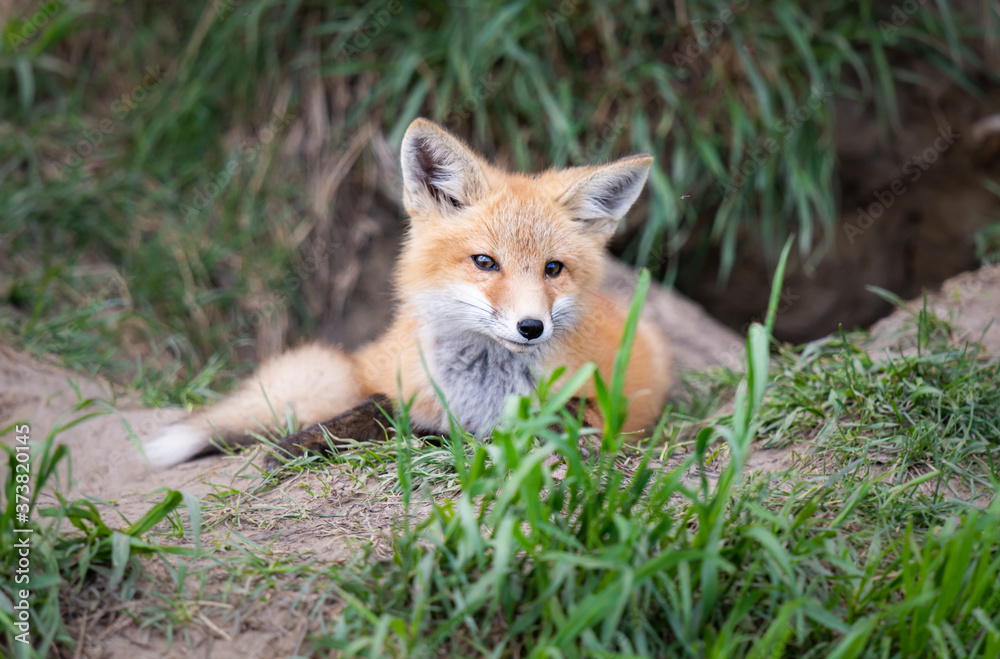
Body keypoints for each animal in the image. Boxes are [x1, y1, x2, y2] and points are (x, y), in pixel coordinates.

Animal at [144, 118, 672, 468]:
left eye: (553, 269)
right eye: (485, 262)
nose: (531, 327)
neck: (482, 390)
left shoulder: (600, 412)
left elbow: (552, 422)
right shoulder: (406, 393)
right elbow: (374, 409)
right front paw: (304, 443)